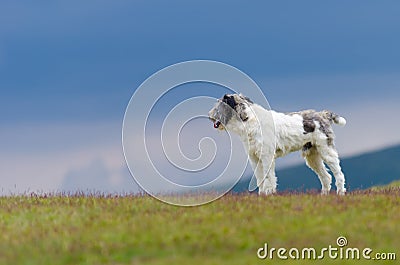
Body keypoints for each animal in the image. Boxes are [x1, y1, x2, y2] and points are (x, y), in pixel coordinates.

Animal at [209, 93, 346, 194]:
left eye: (221, 103)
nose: (210, 115)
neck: (249, 120)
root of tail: (323, 114)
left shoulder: (266, 157)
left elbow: (269, 178)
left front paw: (269, 194)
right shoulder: (254, 158)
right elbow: (260, 179)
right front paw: (262, 195)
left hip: (327, 151)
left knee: (339, 175)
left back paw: (340, 194)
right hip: (313, 156)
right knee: (326, 177)